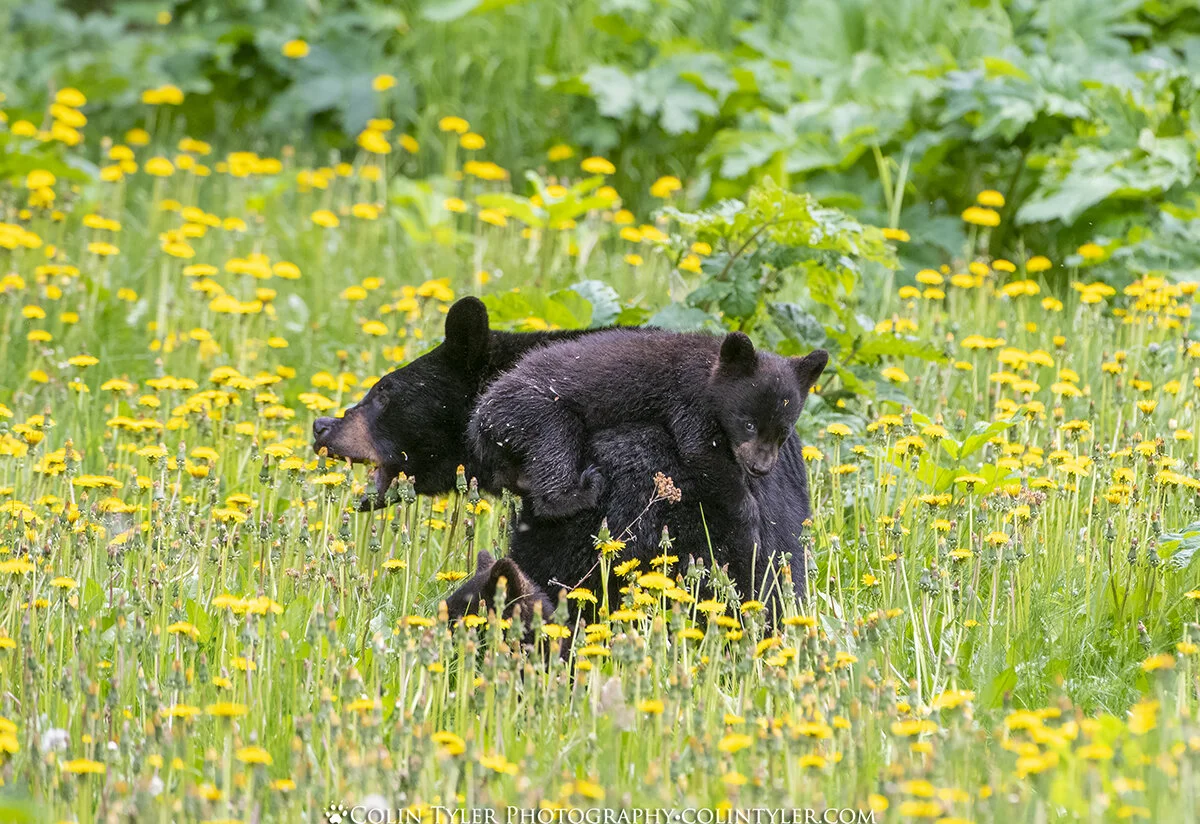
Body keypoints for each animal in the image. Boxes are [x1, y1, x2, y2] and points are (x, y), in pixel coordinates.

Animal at [468, 328, 828, 524]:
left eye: (783, 432)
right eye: (749, 423)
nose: (761, 467)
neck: (711, 371)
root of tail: (479, 420)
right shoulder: (688, 396)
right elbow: (699, 449)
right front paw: (749, 509)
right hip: (529, 409)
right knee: (555, 439)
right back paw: (579, 492)